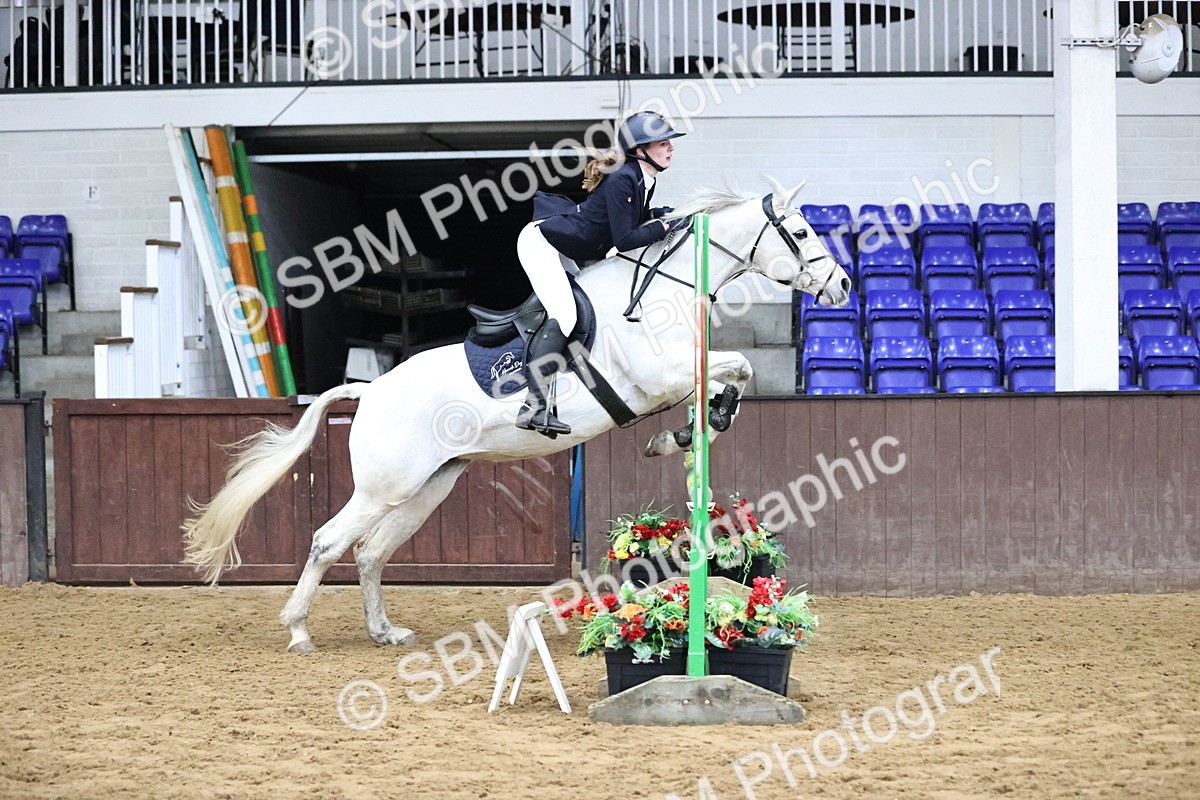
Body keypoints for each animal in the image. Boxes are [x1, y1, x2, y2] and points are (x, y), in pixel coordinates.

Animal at [182, 179, 852, 654]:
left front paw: (688, 431)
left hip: (428, 486)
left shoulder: (676, 377)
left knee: (371, 553)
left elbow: (732, 379)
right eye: (800, 230)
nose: (843, 286)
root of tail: (369, 392)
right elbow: (740, 367)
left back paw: (385, 632)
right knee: (328, 542)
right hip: (383, 487)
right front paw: (686, 431)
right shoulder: (656, 377)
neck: (666, 286)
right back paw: (298, 630)